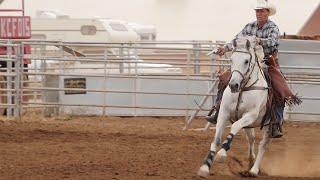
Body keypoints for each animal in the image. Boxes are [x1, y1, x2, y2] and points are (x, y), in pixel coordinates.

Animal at [198, 36, 270, 177]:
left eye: (246, 61)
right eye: (231, 59)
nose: (233, 85)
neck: (243, 88)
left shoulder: (250, 115)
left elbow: (235, 126)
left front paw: (222, 153)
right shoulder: (223, 113)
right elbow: (217, 139)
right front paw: (205, 167)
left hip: (269, 124)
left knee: (263, 145)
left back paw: (254, 170)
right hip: (249, 126)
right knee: (251, 139)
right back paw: (250, 160)